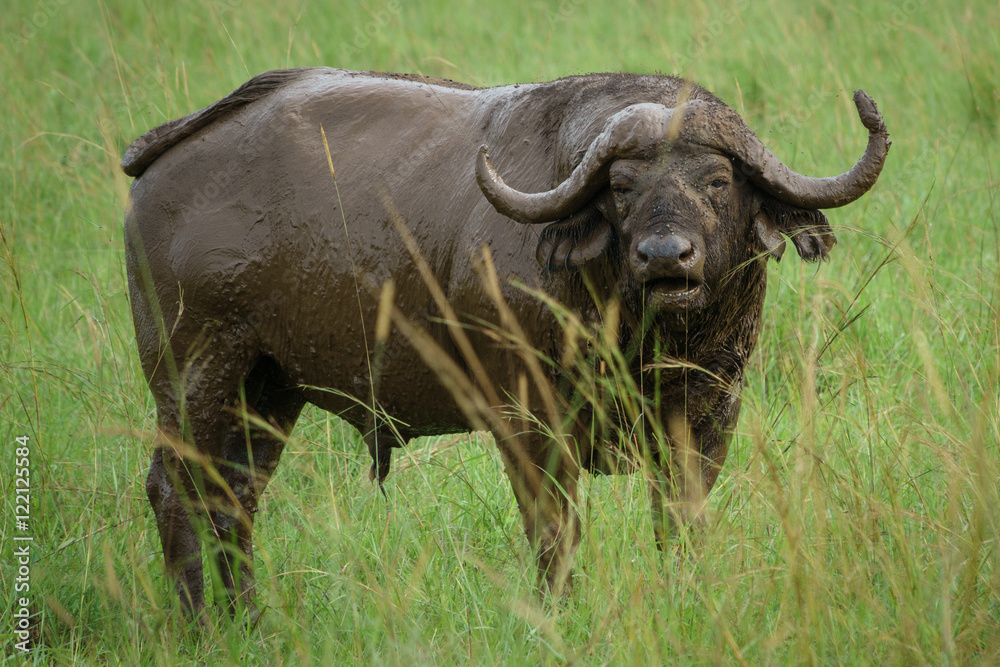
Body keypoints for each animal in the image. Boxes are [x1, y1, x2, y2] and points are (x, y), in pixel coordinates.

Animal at [121, 66, 888, 616]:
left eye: (719, 179)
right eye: (621, 185)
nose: (666, 258)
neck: (636, 337)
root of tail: (164, 156)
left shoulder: (709, 415)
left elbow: (679, 523)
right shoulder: (528, 420)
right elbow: (555, 530)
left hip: (268, 388)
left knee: (232, 494)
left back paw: (246, 619)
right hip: (195, 373)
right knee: (175, 488)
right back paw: (199, 623)